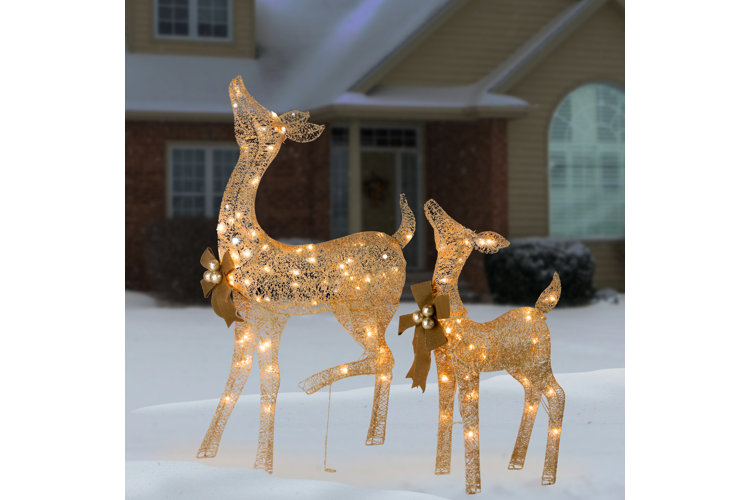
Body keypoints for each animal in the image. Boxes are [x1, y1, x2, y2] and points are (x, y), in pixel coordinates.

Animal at [196, 76, 415, 473]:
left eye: (264, 118)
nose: (237, 83)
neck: (247, 246)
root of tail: (397, 240)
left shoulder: (271, 315)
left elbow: (270, 378)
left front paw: (264, 466)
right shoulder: (245, 318)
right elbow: (236, 377)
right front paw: (207, 453)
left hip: (354, 307)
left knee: (383, 356)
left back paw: (313, 384)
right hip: (382, 310)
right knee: (385, 358)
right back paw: (373, 439)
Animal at [419, 199, 565, 494]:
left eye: (454, 227)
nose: (432, 203)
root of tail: (540, 311)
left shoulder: (468, 368)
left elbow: (470, 417)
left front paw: (473, 487)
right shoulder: (445, 368)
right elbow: (444, 411)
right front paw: (441, 473)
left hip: (540, 362)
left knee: (558, 395)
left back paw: (547, 478)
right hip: (520, 368)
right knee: (533, 394)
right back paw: (516, 463)